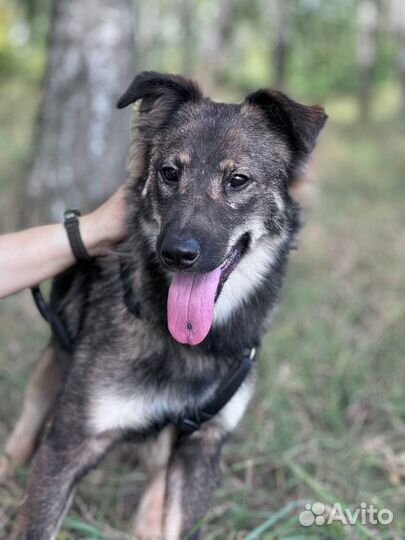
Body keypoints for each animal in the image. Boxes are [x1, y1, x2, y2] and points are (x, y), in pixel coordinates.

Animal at [3, 73, 326, 540]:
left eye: (238, 180)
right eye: (169, 173)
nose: (176, 253)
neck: (192, 345)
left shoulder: (203, 448)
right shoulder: (68, 445)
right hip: (51, 368)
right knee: (26, 427)